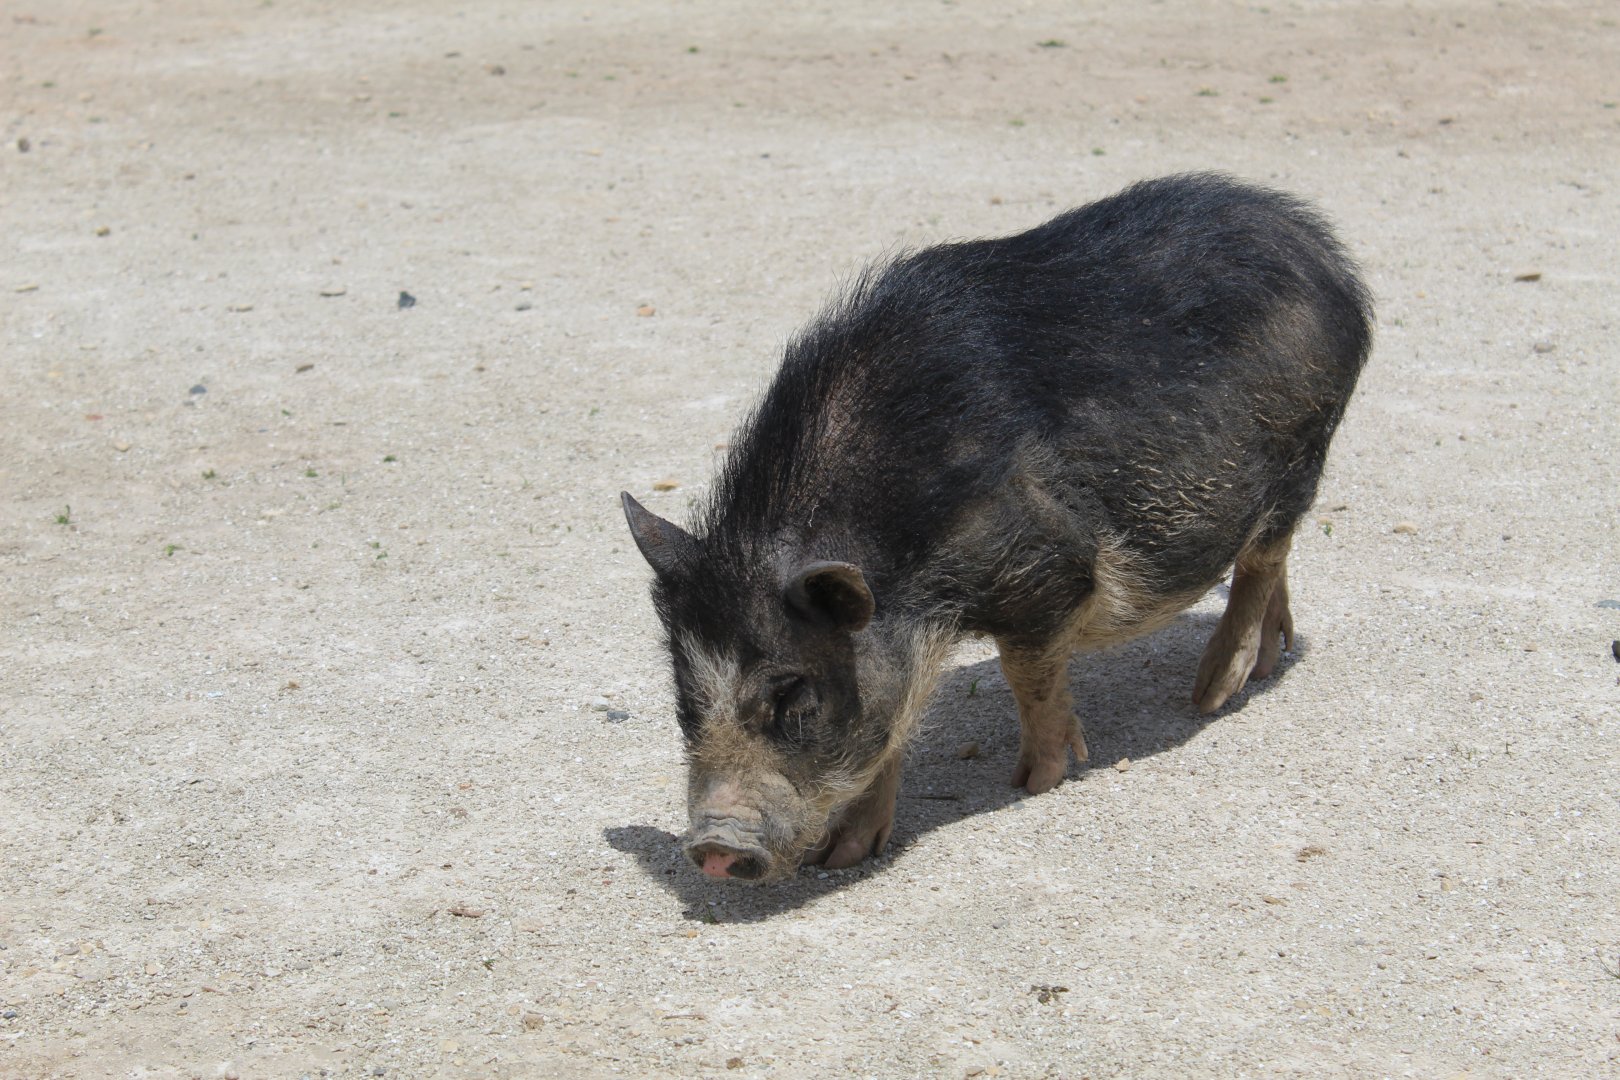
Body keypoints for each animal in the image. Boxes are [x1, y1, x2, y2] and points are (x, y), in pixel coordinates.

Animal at [622, 172, 1372, 882]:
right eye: (687, 702)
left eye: (798, 698)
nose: (714, 846)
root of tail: (1318, 245)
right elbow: (892, 725)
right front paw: (839, 858)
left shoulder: (1049, 568)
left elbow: (1024, 670)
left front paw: (1037, 780)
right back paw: (1268, 659)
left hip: (1301, 449)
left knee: (1265, 551)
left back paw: (1212, 695)